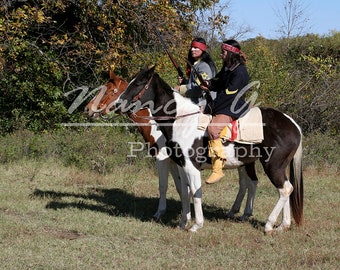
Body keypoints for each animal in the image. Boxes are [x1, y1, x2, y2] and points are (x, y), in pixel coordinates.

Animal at [115, 66, 304, 233]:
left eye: (138, 83)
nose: (117, 105)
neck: (182, 121)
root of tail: (293, 125)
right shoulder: (182, 166)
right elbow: (185, 192)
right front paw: (183, 223)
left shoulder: (191, 166)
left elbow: (195, 193)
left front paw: (196, 225)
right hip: (275, 167)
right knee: (283, 189)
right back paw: (282, 226)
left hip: (272, 166)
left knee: (285, 189)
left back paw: (269, 225)